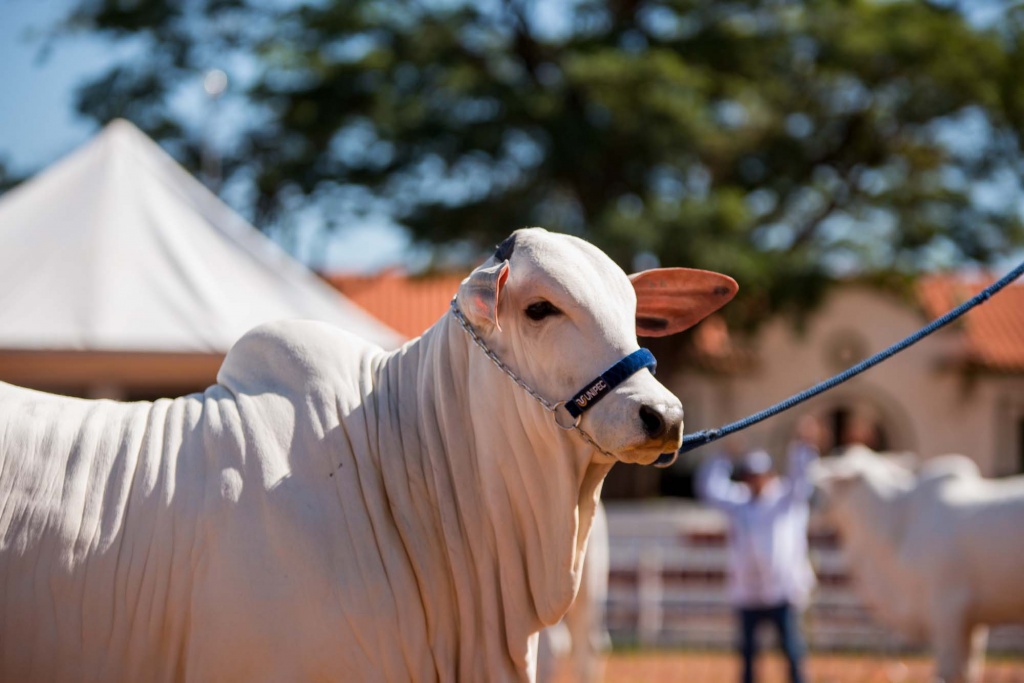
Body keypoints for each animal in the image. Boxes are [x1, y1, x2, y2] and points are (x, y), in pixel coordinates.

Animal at [815, 448, 1024, 683]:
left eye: (835, 474)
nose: (811, 497)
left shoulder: (949, 608)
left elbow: (949, 671)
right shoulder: (974, 621)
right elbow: (968, 670)